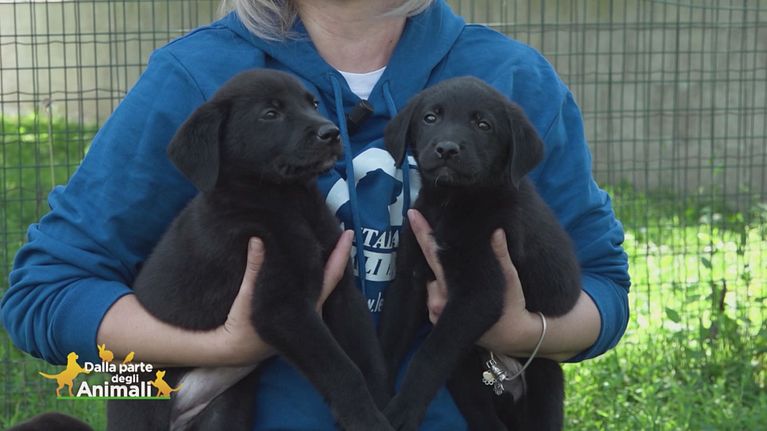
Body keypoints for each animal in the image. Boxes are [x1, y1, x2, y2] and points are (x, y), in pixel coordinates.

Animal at [107, 69, 391, 431]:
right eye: (270, 114)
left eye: (312, 103)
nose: (331, 132)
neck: (287, 202)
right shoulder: (280, 308)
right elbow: (342, 369)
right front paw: (367, 419)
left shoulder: (341, 289)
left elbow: (368, 355)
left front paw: (387, 407)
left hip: (227, 412)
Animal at [378, 76, 582, 430]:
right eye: (430, 118)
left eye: (483, 125)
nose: (447, 148)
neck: (453, 203)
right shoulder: (409, 280)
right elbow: (391, 341)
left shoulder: (479, 293)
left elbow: (429, 354)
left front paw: (403, 410)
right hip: (464, 377)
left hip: (545, 378)